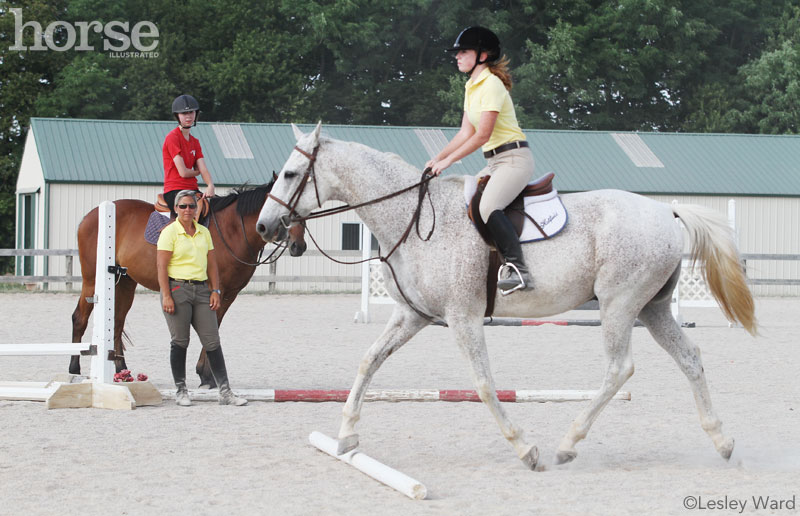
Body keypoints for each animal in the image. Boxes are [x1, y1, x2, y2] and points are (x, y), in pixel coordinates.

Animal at [70, 185, 306, 388]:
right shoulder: (215, 291)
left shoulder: (228, 294)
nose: (299, 246)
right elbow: (210, 328)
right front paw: (206, 375)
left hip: (126, 282)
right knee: (80, 318)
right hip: (92, 280)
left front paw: (207, 375)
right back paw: (74, 369)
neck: (232, 230)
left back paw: (122, 371)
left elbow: (214, 327)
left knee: (117, 323)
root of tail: (89, 216)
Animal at [256, 123, 756, 470]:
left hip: (620, 305)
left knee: (620, 369)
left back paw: (567, 444)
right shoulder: (412, 316)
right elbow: (368, 361)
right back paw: (723, 441)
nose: (264, 226)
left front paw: (525, 448)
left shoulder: (462, 317)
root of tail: (665, 209)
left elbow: (482, 383)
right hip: (652, 309)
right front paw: (346, 437)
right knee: (689, 357)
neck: (415, 220)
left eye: (291, 174)